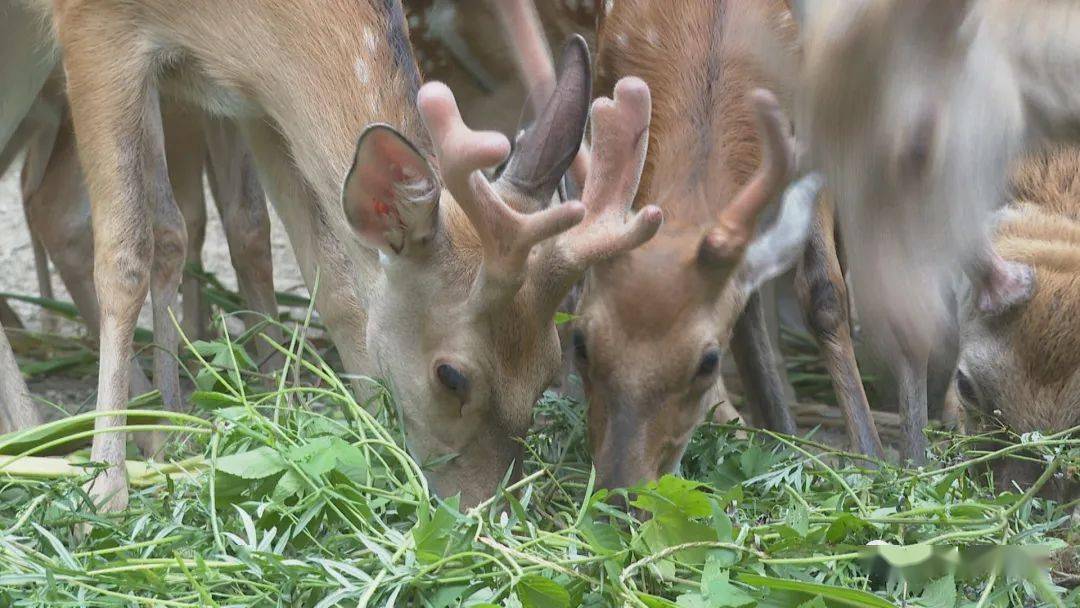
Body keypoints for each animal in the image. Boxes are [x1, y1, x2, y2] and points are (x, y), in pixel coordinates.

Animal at [0, 1, 660, 514]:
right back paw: (35, 440)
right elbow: (125, 253)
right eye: (451, 375)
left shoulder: (251, 96)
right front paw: (106, 494)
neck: (217, 24)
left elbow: (329, 276)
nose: (483, 509)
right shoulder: (93, 26)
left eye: (551, 367)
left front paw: (364, 447)